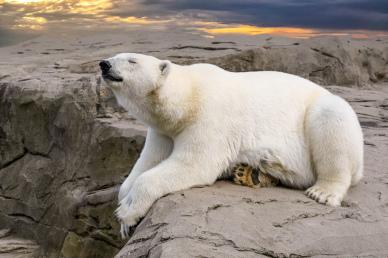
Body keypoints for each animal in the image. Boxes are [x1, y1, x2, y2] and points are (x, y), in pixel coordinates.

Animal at [99, 53, 364, 238]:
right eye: (117, 55)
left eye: (132, 60)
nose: (104, 64)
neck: (188, 98)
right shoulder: (163, 130)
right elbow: (148, 161)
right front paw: (125, 218)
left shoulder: (210, 117)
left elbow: (193, 164)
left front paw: (127, 212)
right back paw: (250, 172)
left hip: (322, 115)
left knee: (332, 122)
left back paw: (323, 192)